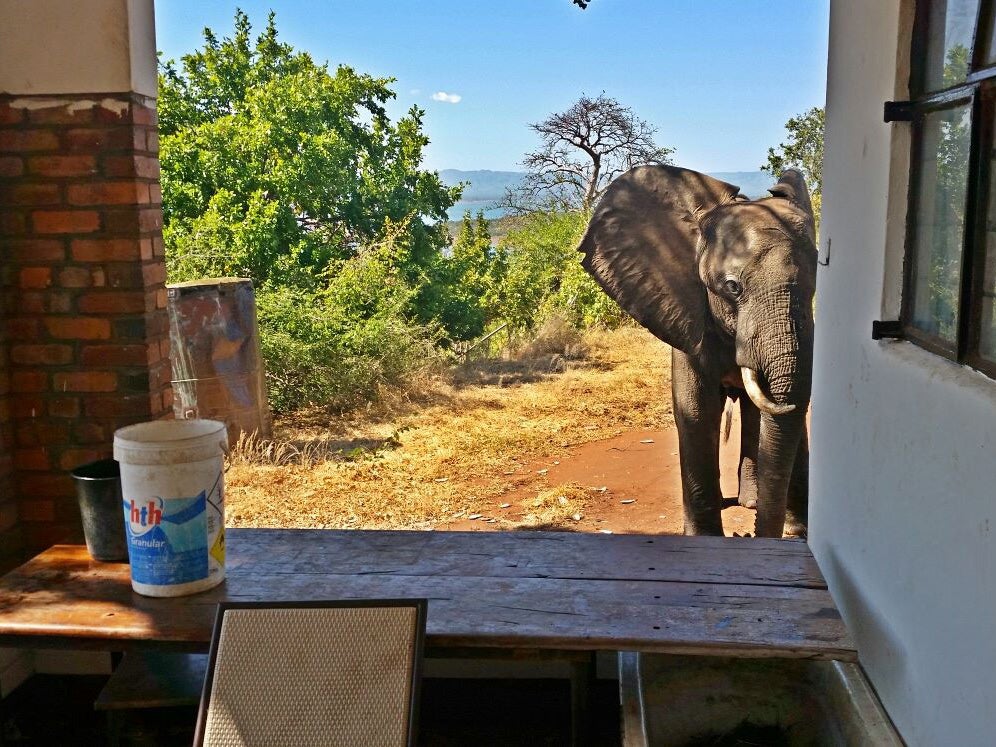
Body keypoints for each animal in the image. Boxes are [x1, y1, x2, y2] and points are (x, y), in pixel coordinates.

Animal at [576, 165, 816, 536]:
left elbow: (787, 408)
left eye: (815, 281)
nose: (745, 535)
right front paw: (705, 537)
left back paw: (750, 502)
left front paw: (797, 532)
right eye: (732, 287)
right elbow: (696, 409)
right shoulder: (685, 309)